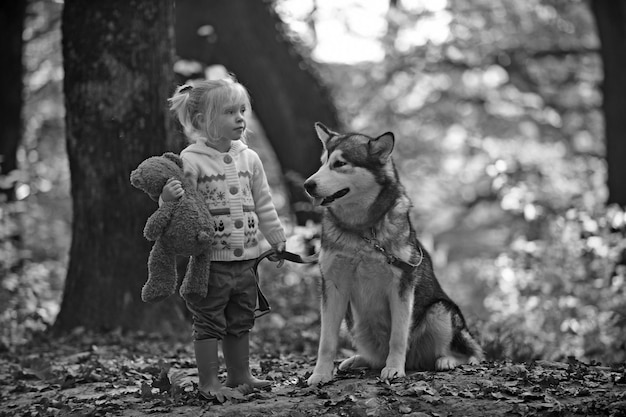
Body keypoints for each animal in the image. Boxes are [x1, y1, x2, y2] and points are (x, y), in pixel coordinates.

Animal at [304, 122, 482, 386]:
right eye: (323, 162)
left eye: (340, 163)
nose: (308, 185)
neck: (362, 229)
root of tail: (415, 360)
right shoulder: (333, 285)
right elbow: (326, 341)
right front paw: (321, 374)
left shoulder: (401, 285)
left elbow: (398, 336)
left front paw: (395, 369)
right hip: (355, 324)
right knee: (375, 357)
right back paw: (356, 360)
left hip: (440, 311)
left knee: (464, 353)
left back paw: (446, 360)